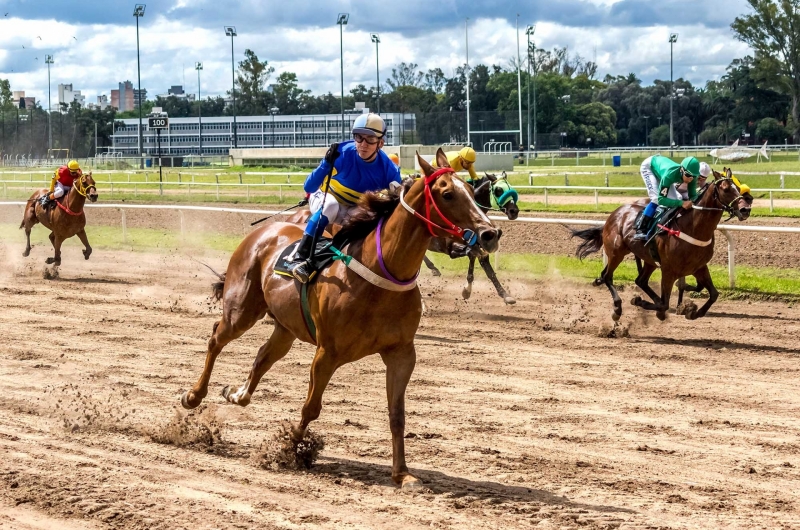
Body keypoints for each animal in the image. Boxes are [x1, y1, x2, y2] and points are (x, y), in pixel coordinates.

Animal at [180, 148, 500, 486]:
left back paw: (237, 393)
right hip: (241, 311)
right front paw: (290, 449)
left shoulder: (401, 353)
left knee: (264, 356)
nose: (490, 234)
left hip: (286, 327)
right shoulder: (327, 353)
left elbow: (397, 415)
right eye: (448, 194)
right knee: (216, 339)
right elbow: (311, 408)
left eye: (472, 192)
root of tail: (264, 230)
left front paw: (402, 474)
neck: (378, 273)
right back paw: (193, 396)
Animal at [422, 172, 520, 304]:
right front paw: (467, 290)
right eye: (499, 190)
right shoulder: (450, 248)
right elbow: (471, 253)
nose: (514, 211)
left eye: (510, 187)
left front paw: (505, 294)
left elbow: (488, 269)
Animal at [572, 174, 748, 322]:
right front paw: (639, 301)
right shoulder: (668, 270)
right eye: (726, 189)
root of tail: (614, 214)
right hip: (616, 252)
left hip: (649, 259)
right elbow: (664, 303)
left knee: (639, 280)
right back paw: (617, 308)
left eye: (738, 187)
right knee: (608, 276)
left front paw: (693, 312)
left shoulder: (699, 267)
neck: (693, 227)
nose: (745, 209)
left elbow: (714, 294)